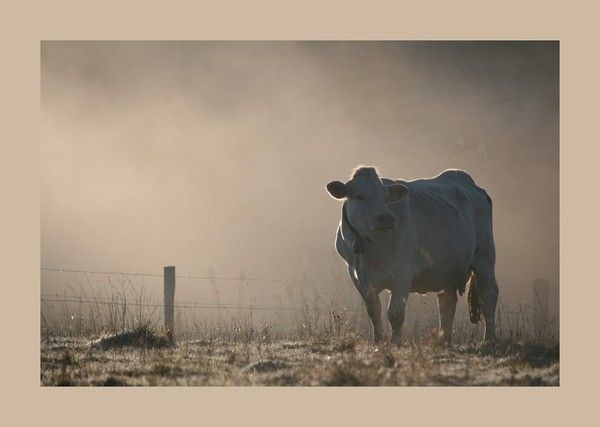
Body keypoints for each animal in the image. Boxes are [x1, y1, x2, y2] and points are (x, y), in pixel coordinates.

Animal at [326, 166, 500, 346]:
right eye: (360, 196)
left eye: (386, 197)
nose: (386, 218)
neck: (370, 250)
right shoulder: (359, 278)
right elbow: (373, 311)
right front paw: (378, 340)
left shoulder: (402, 274)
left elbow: (395, 313)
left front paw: (395, 342)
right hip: (449, 269)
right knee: (447, 302)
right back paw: (444, 340)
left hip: (485, 257)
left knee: (488, 295)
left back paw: (489, 339)